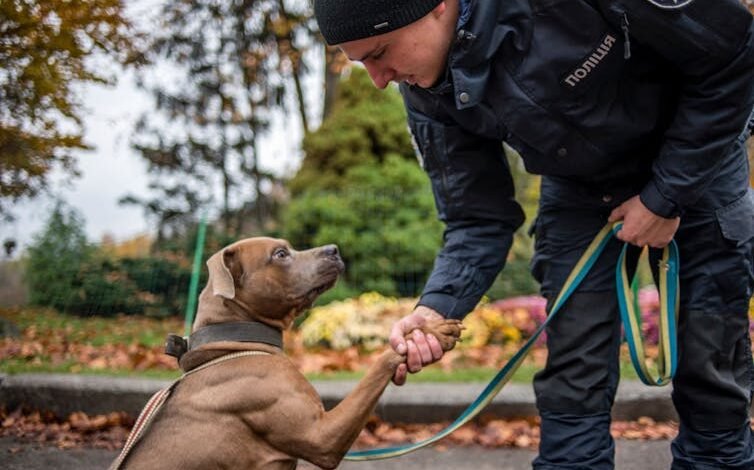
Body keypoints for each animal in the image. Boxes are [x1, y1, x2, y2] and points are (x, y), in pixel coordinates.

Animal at [114, 239, 462, 470]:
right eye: (280, 254)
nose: (334, 249)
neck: (237, 343)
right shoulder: (321, 436)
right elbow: (380, 364)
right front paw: (430, 333)